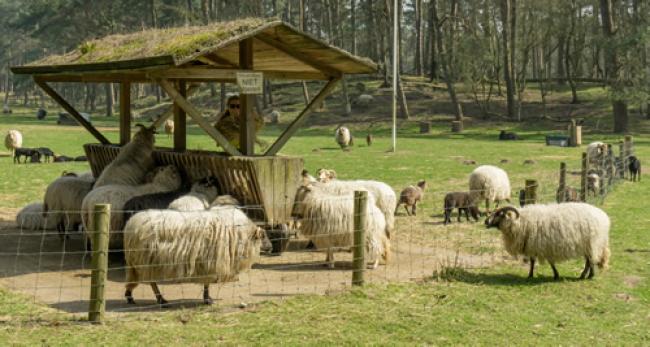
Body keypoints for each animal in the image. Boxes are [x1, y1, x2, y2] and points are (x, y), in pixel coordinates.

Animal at [123, 203, 268, 306]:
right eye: (263, 237)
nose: (271, 248)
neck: (242, 234)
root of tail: (131, 223)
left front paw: (207, 298)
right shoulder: (210, 263)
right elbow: (207, 283)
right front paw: (207, 299)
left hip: (137, 262)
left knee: (135, 279)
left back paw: (130, 295)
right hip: (146, 261)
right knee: (151, 282)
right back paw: (160, 299)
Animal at [484, 205, 612, 282]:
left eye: (498, 214)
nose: (485, 221)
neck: (520, 222)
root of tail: (604, 217)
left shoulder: (540, 246)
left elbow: (543, 262)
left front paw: (533, 275)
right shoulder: (537, 246)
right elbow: (536, 261)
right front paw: (536, 274)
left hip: (591, 242)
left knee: (591, 260)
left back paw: (589, 276)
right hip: (587, 245)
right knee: (588, 261)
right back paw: (584, 275)